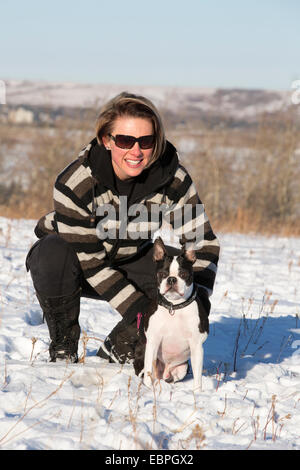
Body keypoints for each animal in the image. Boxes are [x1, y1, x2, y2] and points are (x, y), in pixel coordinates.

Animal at [134, 237, 209, 392]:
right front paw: (148, 389)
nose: (172, 279)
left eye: (183, 275)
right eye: (162, 274)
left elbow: (198, 376)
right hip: (144, 353)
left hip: (182, 368)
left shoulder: (196, 345)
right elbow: (149, 370)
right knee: (147, 371)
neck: (174, 307)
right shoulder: (153, 342)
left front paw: (197, 393)